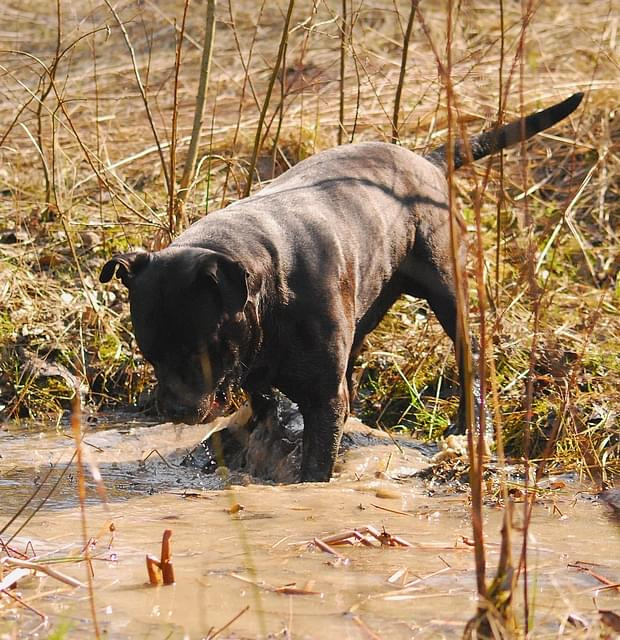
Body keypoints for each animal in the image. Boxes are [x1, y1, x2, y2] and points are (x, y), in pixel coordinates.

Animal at [100, 94, 580, 480]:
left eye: (199, 351)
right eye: (150, 354)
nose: (174, 411)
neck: (268, 289)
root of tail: (424, 160)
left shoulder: (324, 400)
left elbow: (316, 462)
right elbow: (262, 400)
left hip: (448, 292)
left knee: (470, 352)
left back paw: (470, 425)